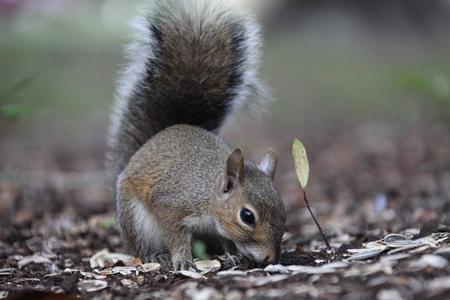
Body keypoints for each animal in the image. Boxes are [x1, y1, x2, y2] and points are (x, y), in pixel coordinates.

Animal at [106, 0, 284, 272]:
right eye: (247, 216)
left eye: (283, 210)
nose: (271, 258)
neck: (209, 197)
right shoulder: (171, 206)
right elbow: (175, 235)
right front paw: (182, 259)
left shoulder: (216, 229)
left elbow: (225, 239)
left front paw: (231, 255)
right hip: (135, 219)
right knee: (139, 248)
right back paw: (156, 256)